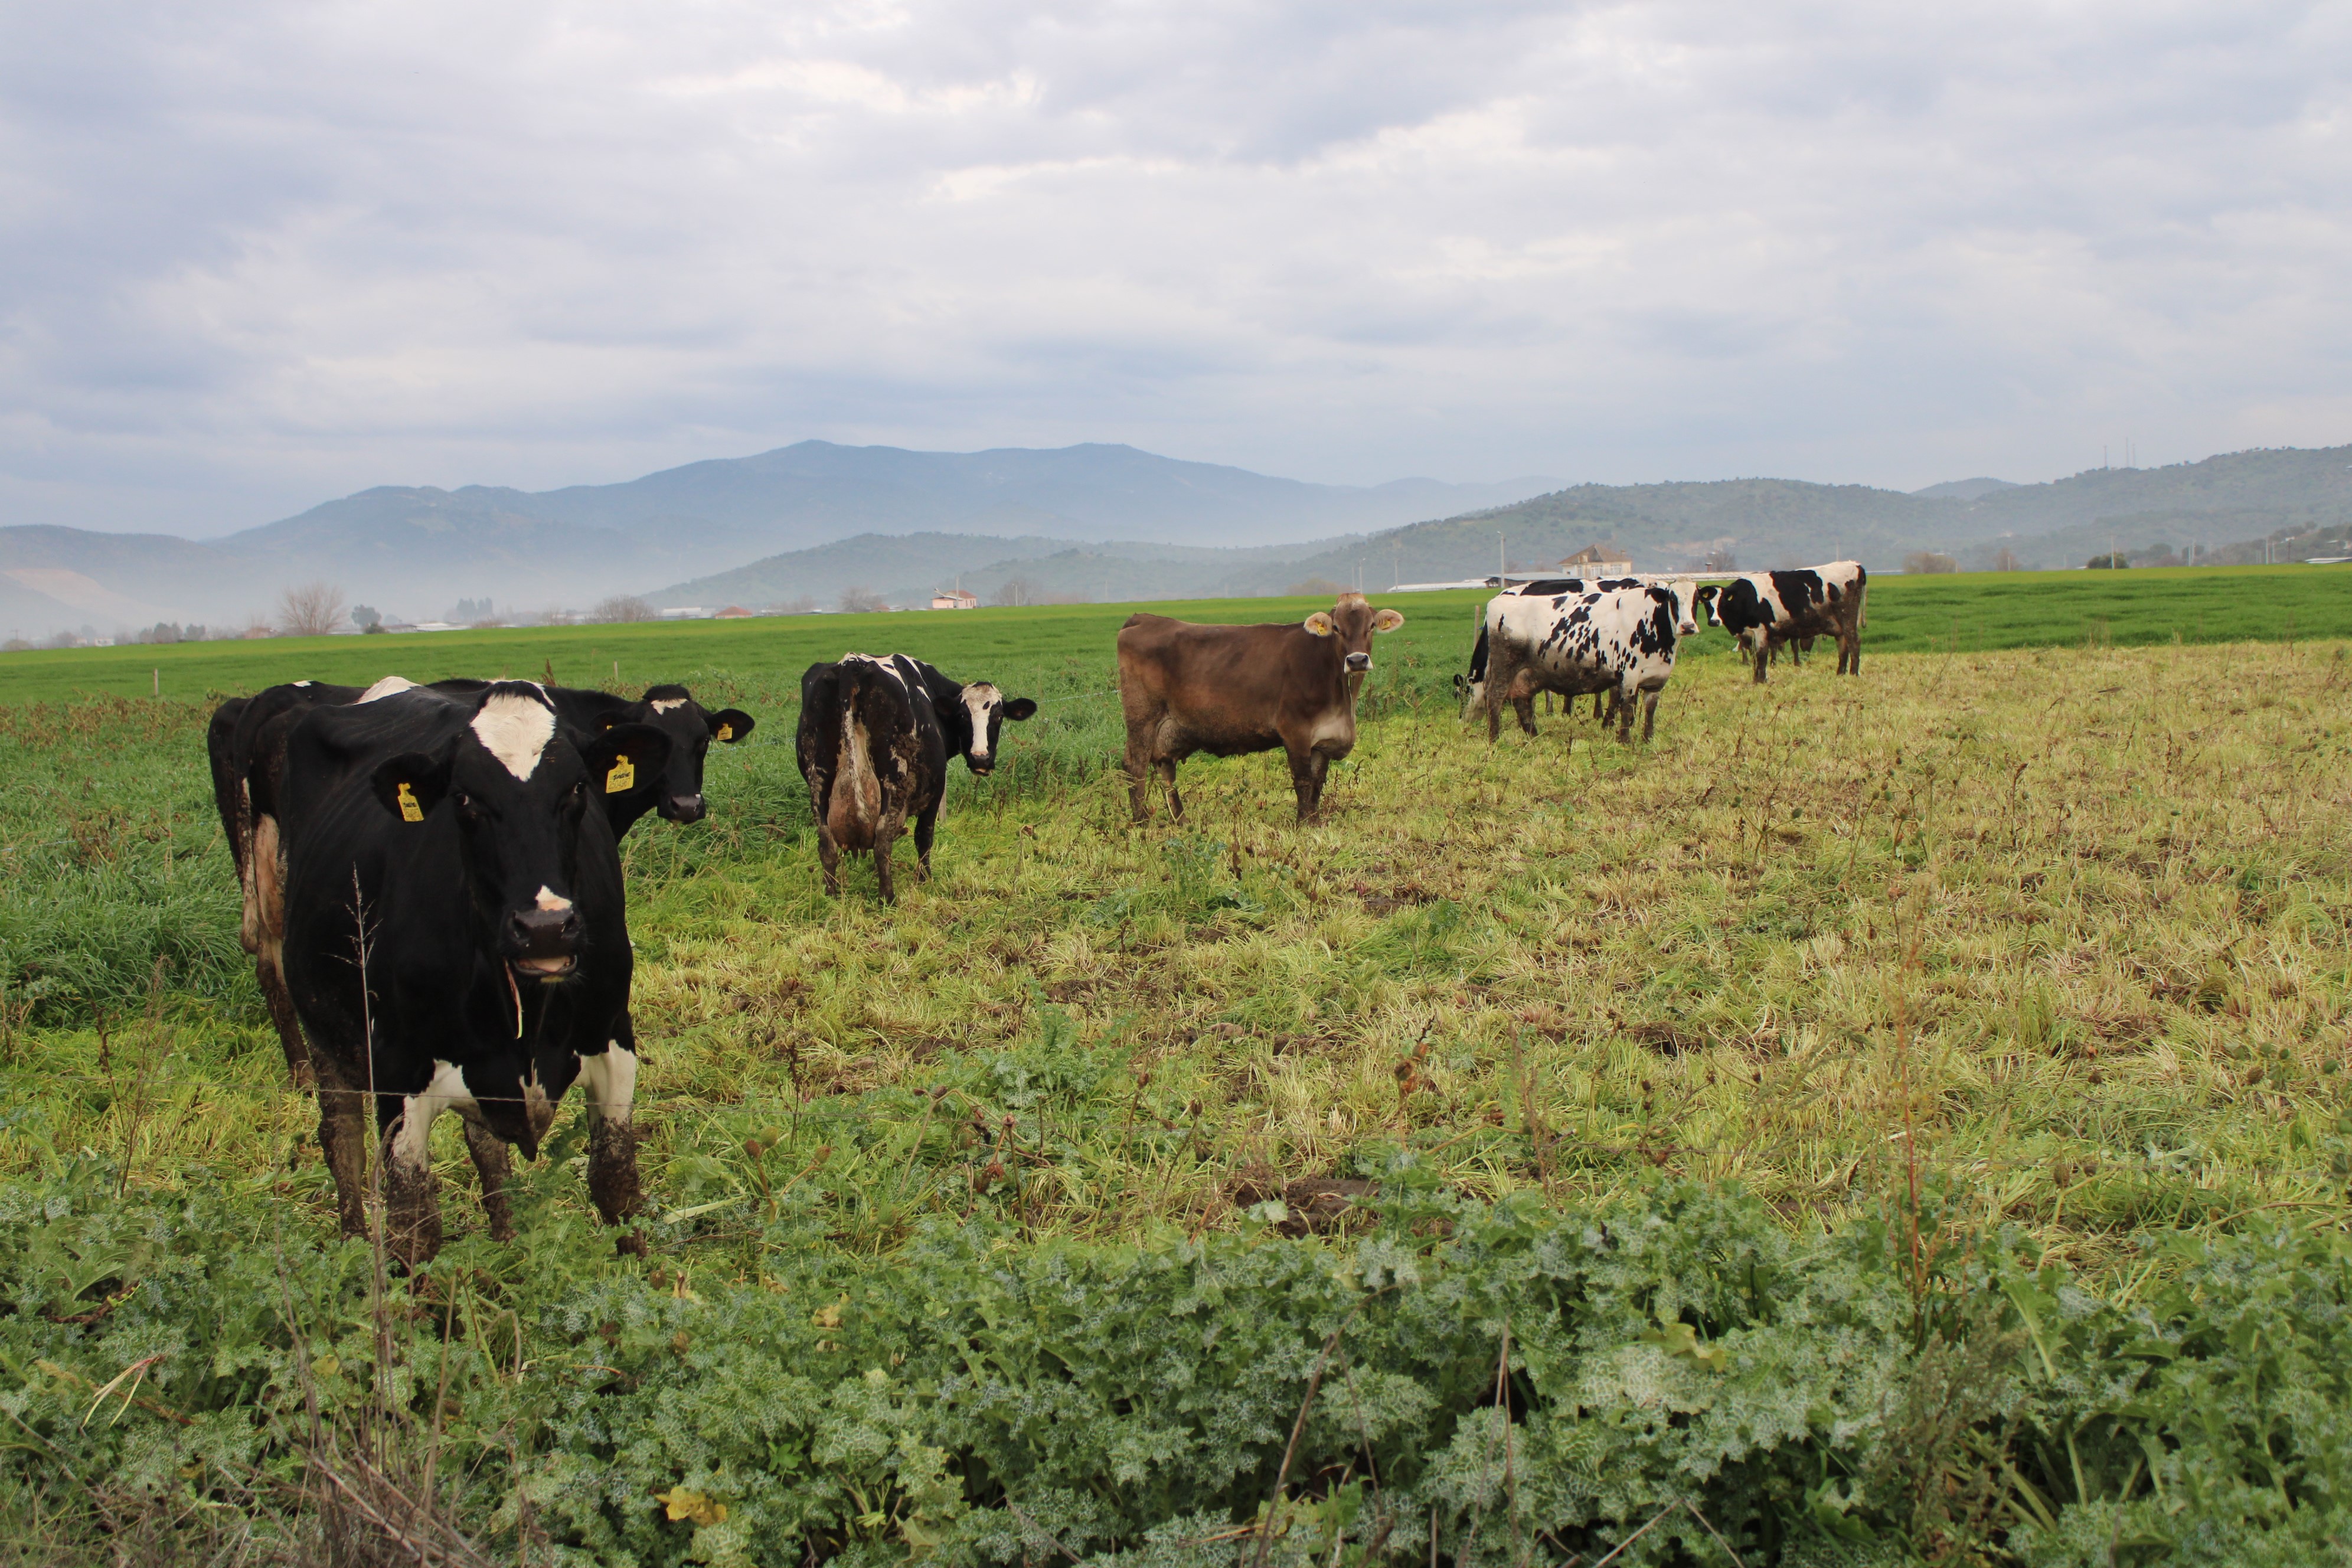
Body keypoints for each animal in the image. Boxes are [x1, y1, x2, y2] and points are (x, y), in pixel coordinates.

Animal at [270, 681, 672, 1260]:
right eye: (463, 798)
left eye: (578, 787)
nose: (545, 928)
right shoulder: (398, 1072)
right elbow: (414, 1229)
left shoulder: (613, 1038)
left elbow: (615, 1184)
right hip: (324, 1027)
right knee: (340, 1131)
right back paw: (351, 1242)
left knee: (484, 1144)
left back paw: (506, 1241)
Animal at [795, 649, 1034, 893]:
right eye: (962, 716)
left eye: (999, 716)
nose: (981, 758)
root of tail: (852, 663)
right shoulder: (936, 791)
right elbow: (924, 836)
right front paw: (925, 879)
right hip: (894, 779)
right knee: (883, 839)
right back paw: (887, 896)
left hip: (819, 780)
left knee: (827, 843)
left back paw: (831, 895)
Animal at [1115, 594, 1402, 827]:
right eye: (1336, 628)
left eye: (1371, 626)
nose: (1357, 660)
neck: (1342, 700)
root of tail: (1144, 619)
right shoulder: (1295, 731)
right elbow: (1303, 780)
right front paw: (1303, 825)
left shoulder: (1323, 738)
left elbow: (1317, 783)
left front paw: (1315, 821)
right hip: (1142, 718)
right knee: (1135, 766)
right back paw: (1142, 822)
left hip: (1169, 728)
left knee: (1166, 769)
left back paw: (1183, 821)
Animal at [1458, 580, 1703, 747]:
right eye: (1673, 599)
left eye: (1696, 600)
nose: (1688, 626)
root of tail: (1498, 602)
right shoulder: (1628, 676)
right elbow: (1627, 709)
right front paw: (1625, 741)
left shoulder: (1656, 681)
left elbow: (1650, 710)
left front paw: (1648, 739)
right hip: (1505, 667)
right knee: (1496, 698)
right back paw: (1495, 739)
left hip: (1526, 674)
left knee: (1522, 702)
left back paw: (1534, 736)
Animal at [1703, 566, 1863, 681]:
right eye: (1708, 605)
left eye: (1723, 603)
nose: (1714, 621)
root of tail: (1855, 566)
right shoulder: (1749, 635)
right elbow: (1755, 657)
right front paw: (1756, 678)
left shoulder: (1761, 631)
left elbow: (1762, 656)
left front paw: (1760, 681)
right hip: (1839, 626)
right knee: (1843, 646)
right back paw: (1840, 674)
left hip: (1847, 618)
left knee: (1854, 642)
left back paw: (1854, 674)